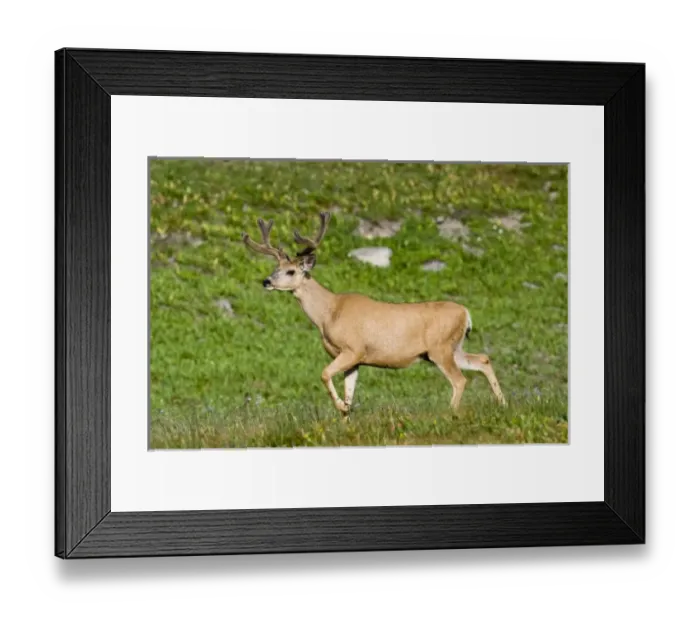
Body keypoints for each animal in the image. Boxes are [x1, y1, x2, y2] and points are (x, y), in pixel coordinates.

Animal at [242, 212, 507, 416]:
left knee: (460, 379)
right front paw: (346, 415)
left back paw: (450, 413)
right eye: (275, 267)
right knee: (483, 359)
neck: (329, 313)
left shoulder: (353, 349)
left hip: (440, 348)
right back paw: (502, 404)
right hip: (451, 348)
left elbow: (324, 374)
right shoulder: (355, 360)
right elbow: (350, 392)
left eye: (290, 271)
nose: (266, 281)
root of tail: (466, 313)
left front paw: (341, 407)